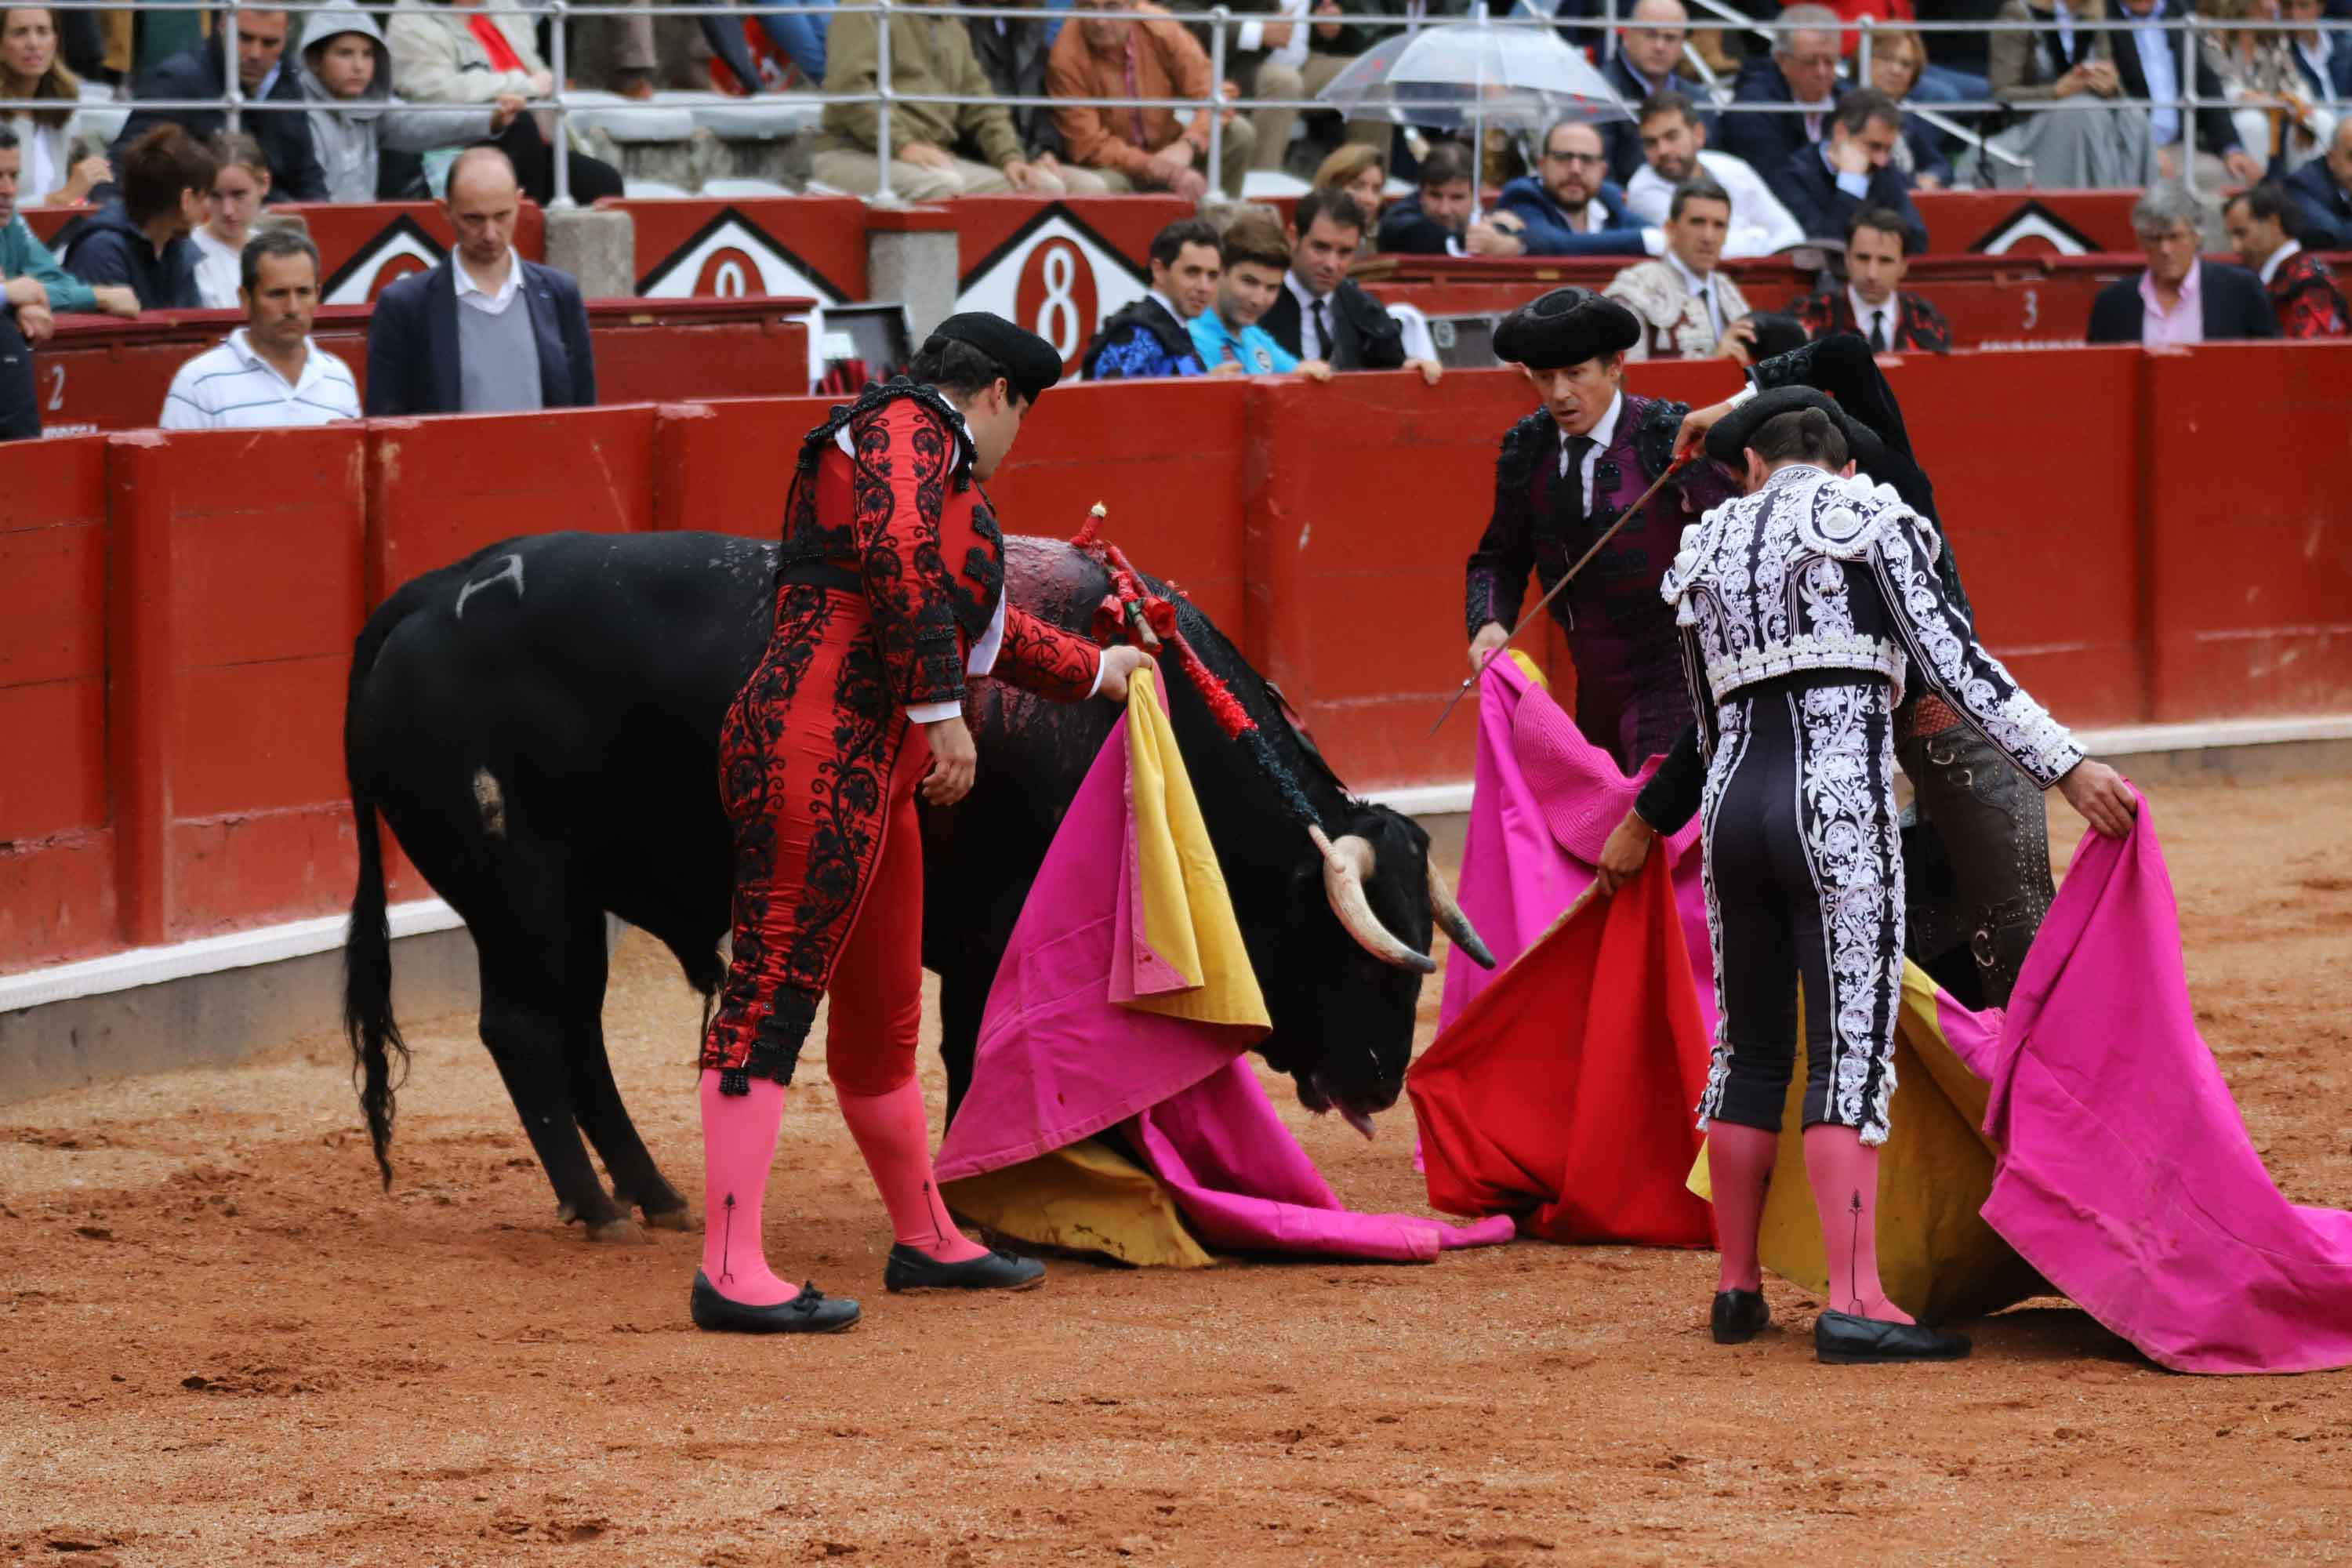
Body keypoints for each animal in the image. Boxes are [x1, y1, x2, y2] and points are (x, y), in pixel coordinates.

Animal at [343, 533, 1486, 1241]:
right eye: (1355, 956)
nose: (1384, 1079)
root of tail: (429, 593)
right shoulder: (992, 936)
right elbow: (979, 1054)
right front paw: (1002, 1190)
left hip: (575, 900)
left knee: (574, 1029)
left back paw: (655, 1193)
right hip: (522, 890)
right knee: (527, 1029)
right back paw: (600, 1207)